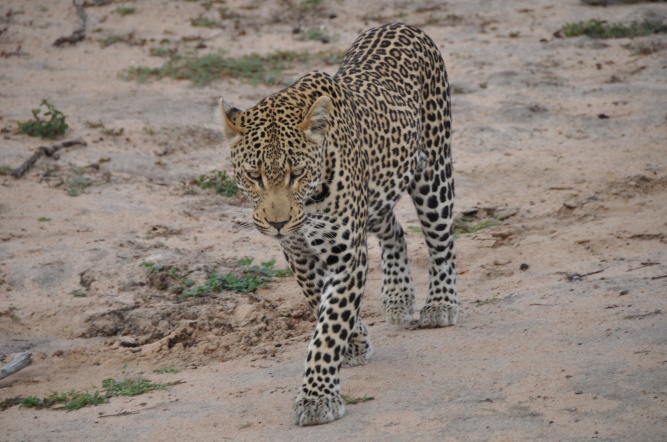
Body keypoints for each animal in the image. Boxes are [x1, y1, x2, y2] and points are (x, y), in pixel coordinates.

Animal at [219, 23, 457, 426]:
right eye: (254, 176)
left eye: (296, 173)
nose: (278, 223)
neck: (311, 200)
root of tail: (402, 24)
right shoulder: (298, 254)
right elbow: (320, 302)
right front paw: (356, 340)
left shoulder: (347, 255)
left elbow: (329, 328)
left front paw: (317, 397)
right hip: (376, 197)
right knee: (395, 232)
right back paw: (398, 296)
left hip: (433, 172)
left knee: (441, 240)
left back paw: (440, 304)